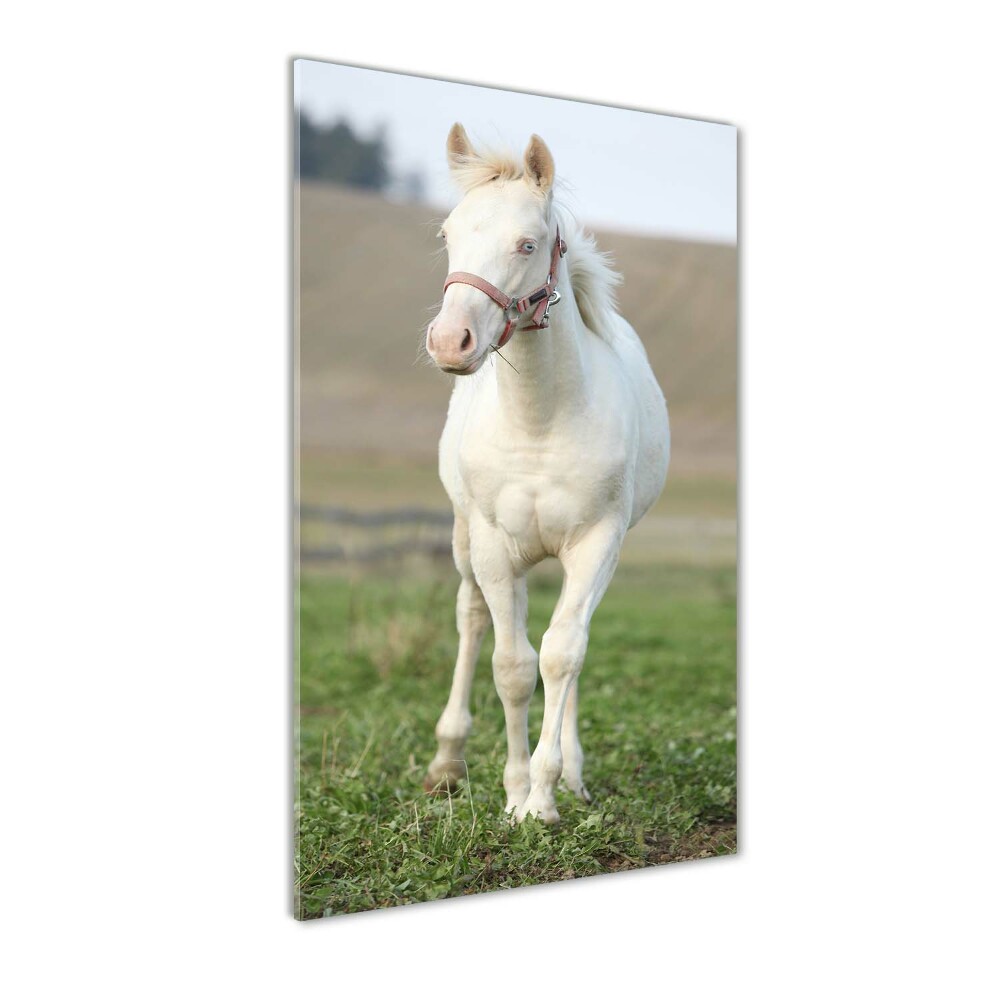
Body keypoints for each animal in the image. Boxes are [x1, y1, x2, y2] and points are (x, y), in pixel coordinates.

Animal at [424, 125, 672, 824]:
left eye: (527, 243)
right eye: (448, 235)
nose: (450, 341)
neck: (539, 424)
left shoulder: (596, 544)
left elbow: (563, 655)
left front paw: (544, 794)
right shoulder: (493, 548)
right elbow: (511, 664)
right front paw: (513, 795)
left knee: (569, 643)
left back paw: (575, 775)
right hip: (465, 541)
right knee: (472, 620)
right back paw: (447, 760)